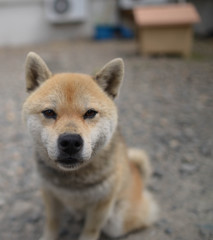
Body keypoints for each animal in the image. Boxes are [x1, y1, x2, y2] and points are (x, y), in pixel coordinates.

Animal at [22, 53, 158, 240]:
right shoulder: (50, 194)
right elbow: (52, 222)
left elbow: (90, 230)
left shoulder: (101, 205)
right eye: (49, 112)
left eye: (90, 113)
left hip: (117, 222)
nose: (70, 141)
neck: (73, 181)